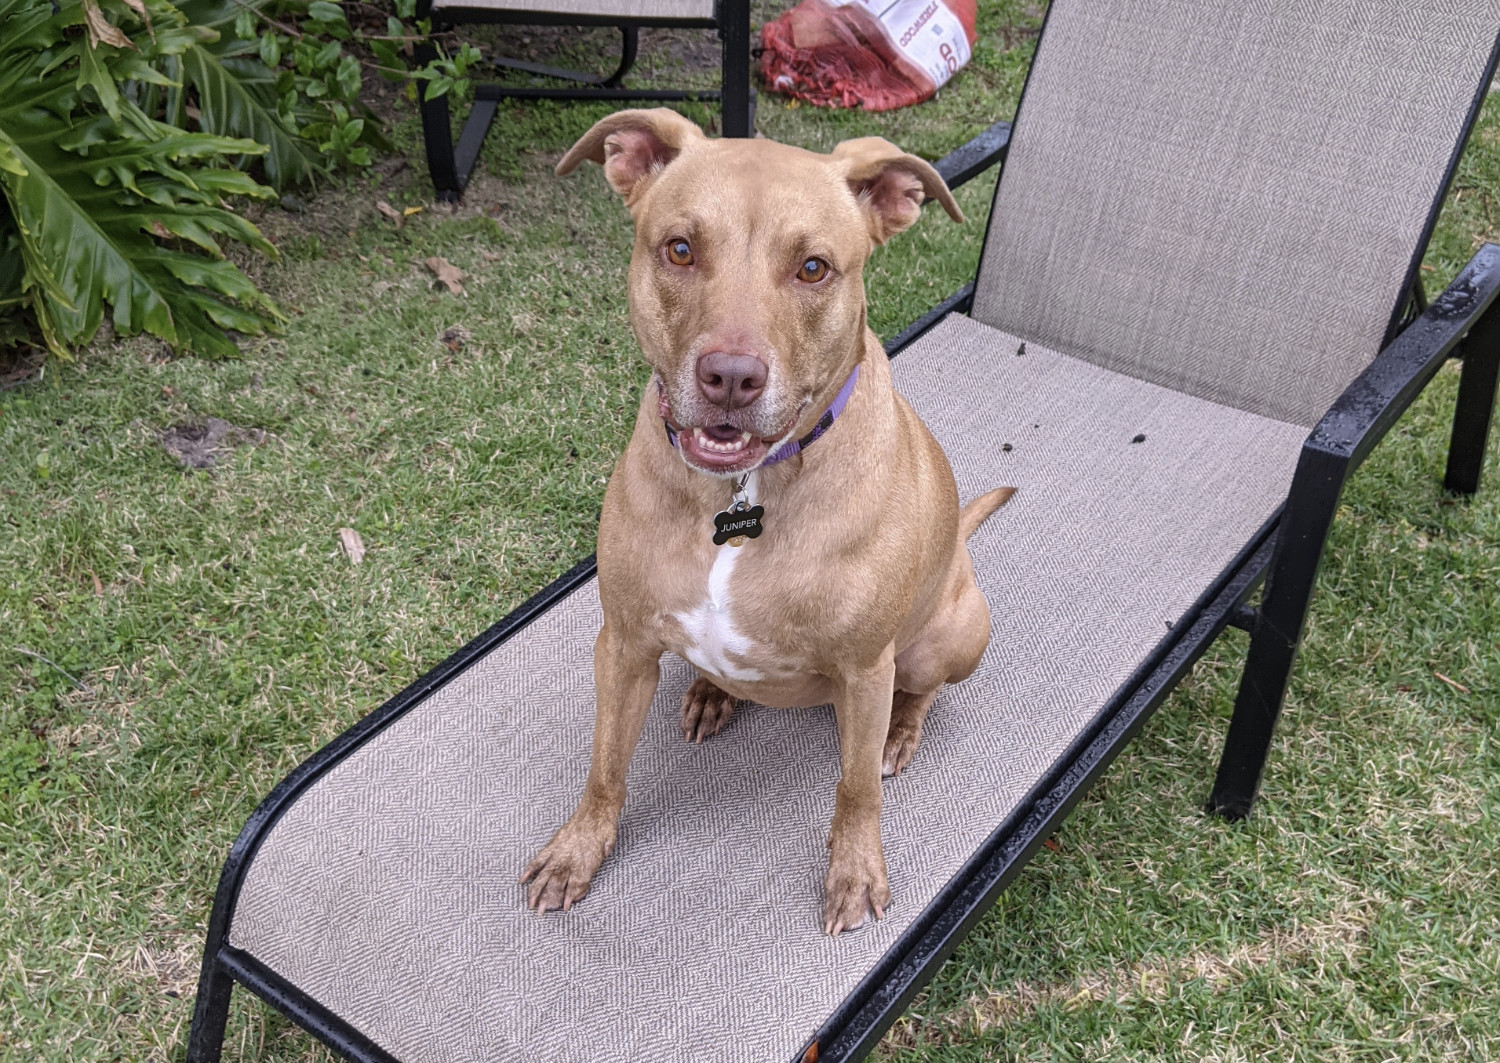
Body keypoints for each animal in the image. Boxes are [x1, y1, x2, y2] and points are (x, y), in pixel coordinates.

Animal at [522, 107, 1014, 935]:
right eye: (679, 248)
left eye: (813, 267)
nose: (730, 377)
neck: (741, 493)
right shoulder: (622, 644)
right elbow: (605, 767)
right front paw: (577, 849)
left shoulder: (865, 668)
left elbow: (855, 788)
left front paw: (855, 870)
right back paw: (711, 691)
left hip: (950, 634)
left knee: (920, 695)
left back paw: (901, 732)